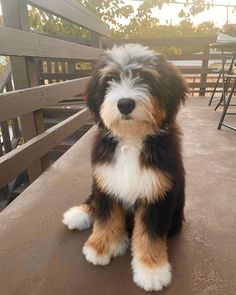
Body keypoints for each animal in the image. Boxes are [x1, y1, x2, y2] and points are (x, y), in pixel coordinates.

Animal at [63, 44, 188, 294]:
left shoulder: (157, 193)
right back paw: (79, 213)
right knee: (93, 200)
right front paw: (99, 247)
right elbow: (105, 216)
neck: (131, 139)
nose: (125, 104)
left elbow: (150, 234)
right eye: (110, 80)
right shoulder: (107, 180)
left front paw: (151, 270)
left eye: (146, 79)